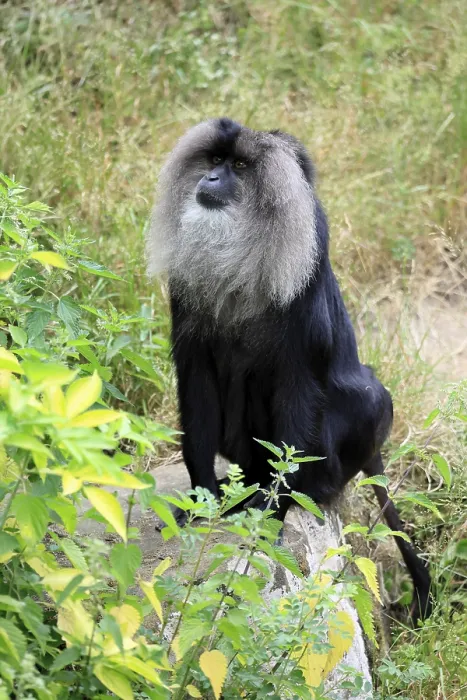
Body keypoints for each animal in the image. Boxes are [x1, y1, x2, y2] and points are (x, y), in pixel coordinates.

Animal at [146, 117, 432, 622]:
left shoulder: (304, 274)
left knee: (370, 397)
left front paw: (271, 512)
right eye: (215, 160)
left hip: (349, 441)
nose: (211, 178)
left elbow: (300, 391)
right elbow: (197, 385)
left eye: (241, 166)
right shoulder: (188, 309)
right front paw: (203, 498)